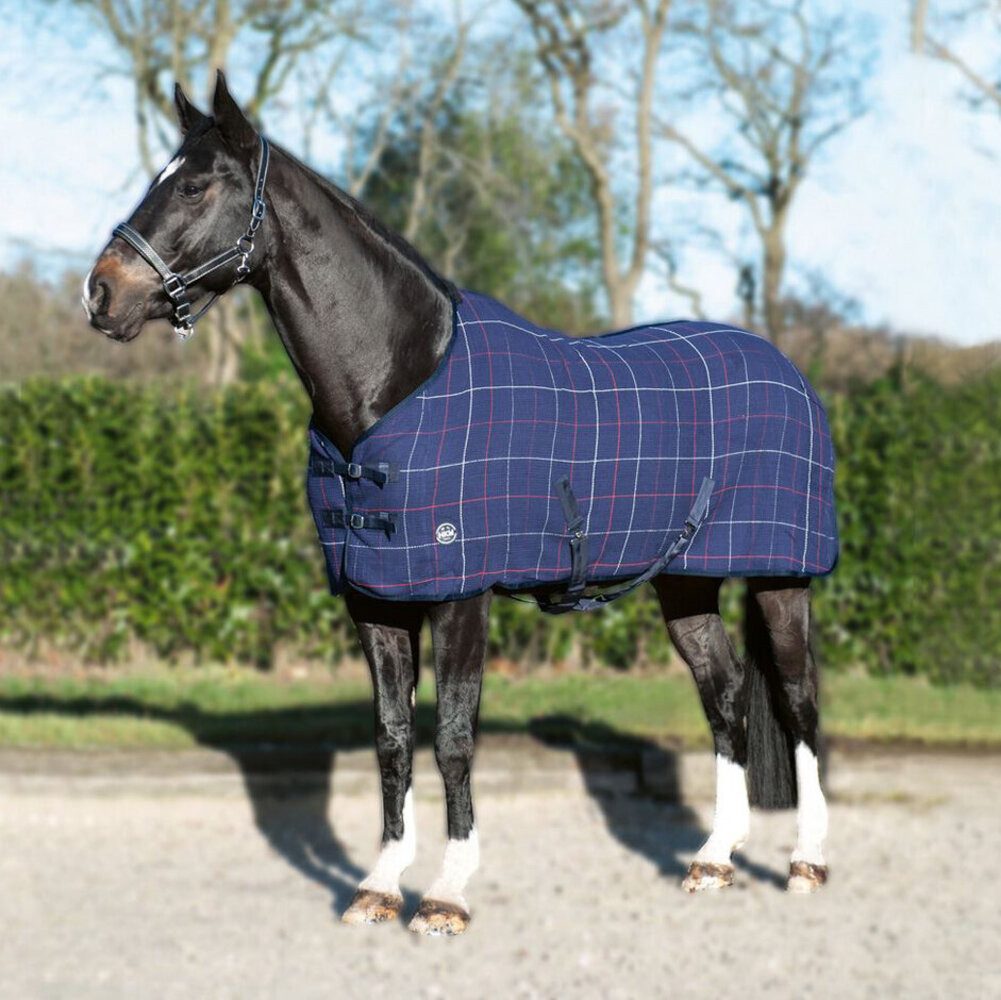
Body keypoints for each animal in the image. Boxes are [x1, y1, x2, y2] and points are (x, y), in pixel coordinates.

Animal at [83, 72, 832, 936]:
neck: (396, 380)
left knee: (798, 701)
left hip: (781, 578)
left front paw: (445, 893)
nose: (100, 293)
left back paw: (807, 862)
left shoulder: (459, 596)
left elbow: (452, 737)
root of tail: (783, 367)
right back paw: (712, 860)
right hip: (685, 582)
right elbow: (392, 739)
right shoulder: (376, 599)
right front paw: (378, 885)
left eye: (196, 185)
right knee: (726, 696)